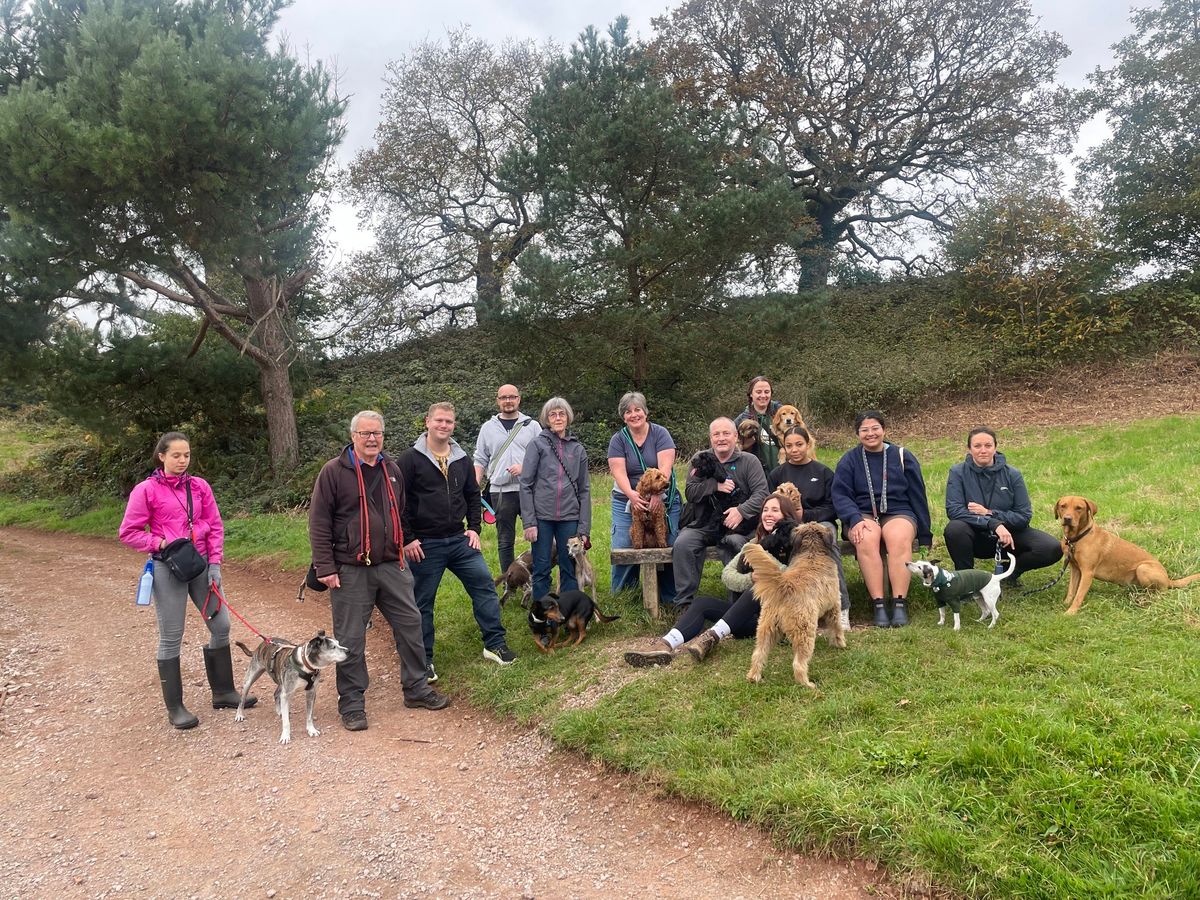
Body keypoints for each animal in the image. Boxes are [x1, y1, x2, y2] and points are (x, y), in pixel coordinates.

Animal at [739, 525, 844, 686]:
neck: (812, 552)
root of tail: (785, 586)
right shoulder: (834, 605)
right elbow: (837, 627)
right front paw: (840, 643)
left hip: (765, 628)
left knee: (758, 654)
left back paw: (753, 677)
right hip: (804, 631)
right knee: (799, 663)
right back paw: (807, 684)